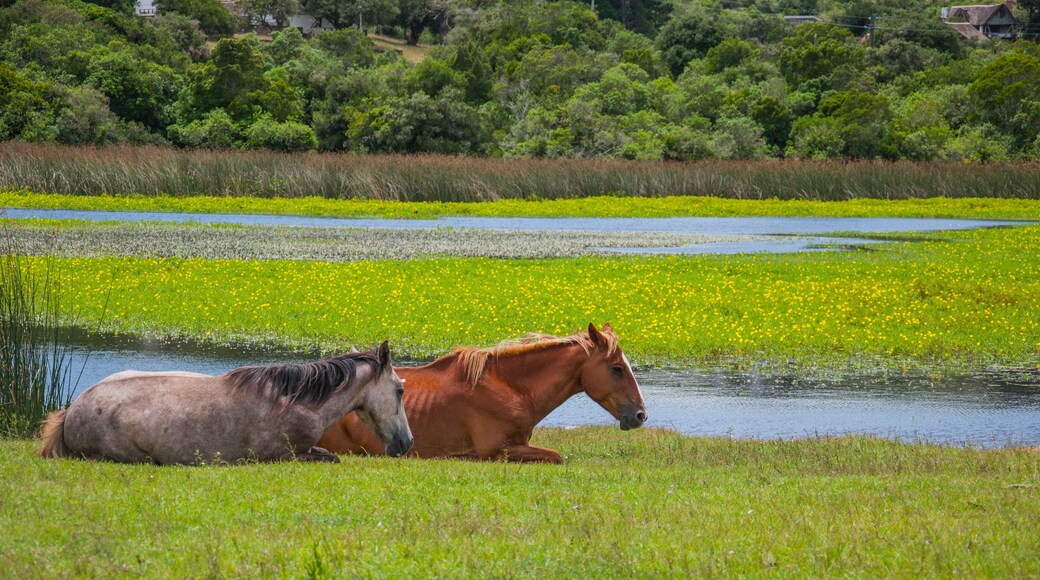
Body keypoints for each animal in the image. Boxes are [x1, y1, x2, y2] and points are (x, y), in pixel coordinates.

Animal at [36, 341, 412, 465]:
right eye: (399, 390)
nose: (407, 442)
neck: (296, 401)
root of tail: (73, 410)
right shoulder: (281, 455)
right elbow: (331, 457)